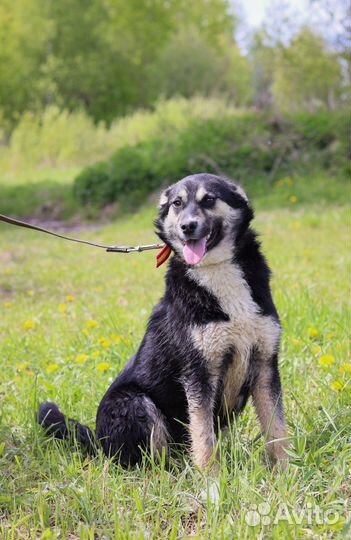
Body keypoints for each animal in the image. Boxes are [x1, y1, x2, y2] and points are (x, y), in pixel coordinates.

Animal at [37, 174, 288, 468]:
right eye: (177, 203)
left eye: (209, 199)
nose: (187, 226)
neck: (216, 269)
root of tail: (99, 445)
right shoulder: (198, 374)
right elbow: (203, 438)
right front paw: (211, 478)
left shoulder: (265, 364)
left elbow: (277, 429)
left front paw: (286, 471)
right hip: (136, 403)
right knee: (151, 464)